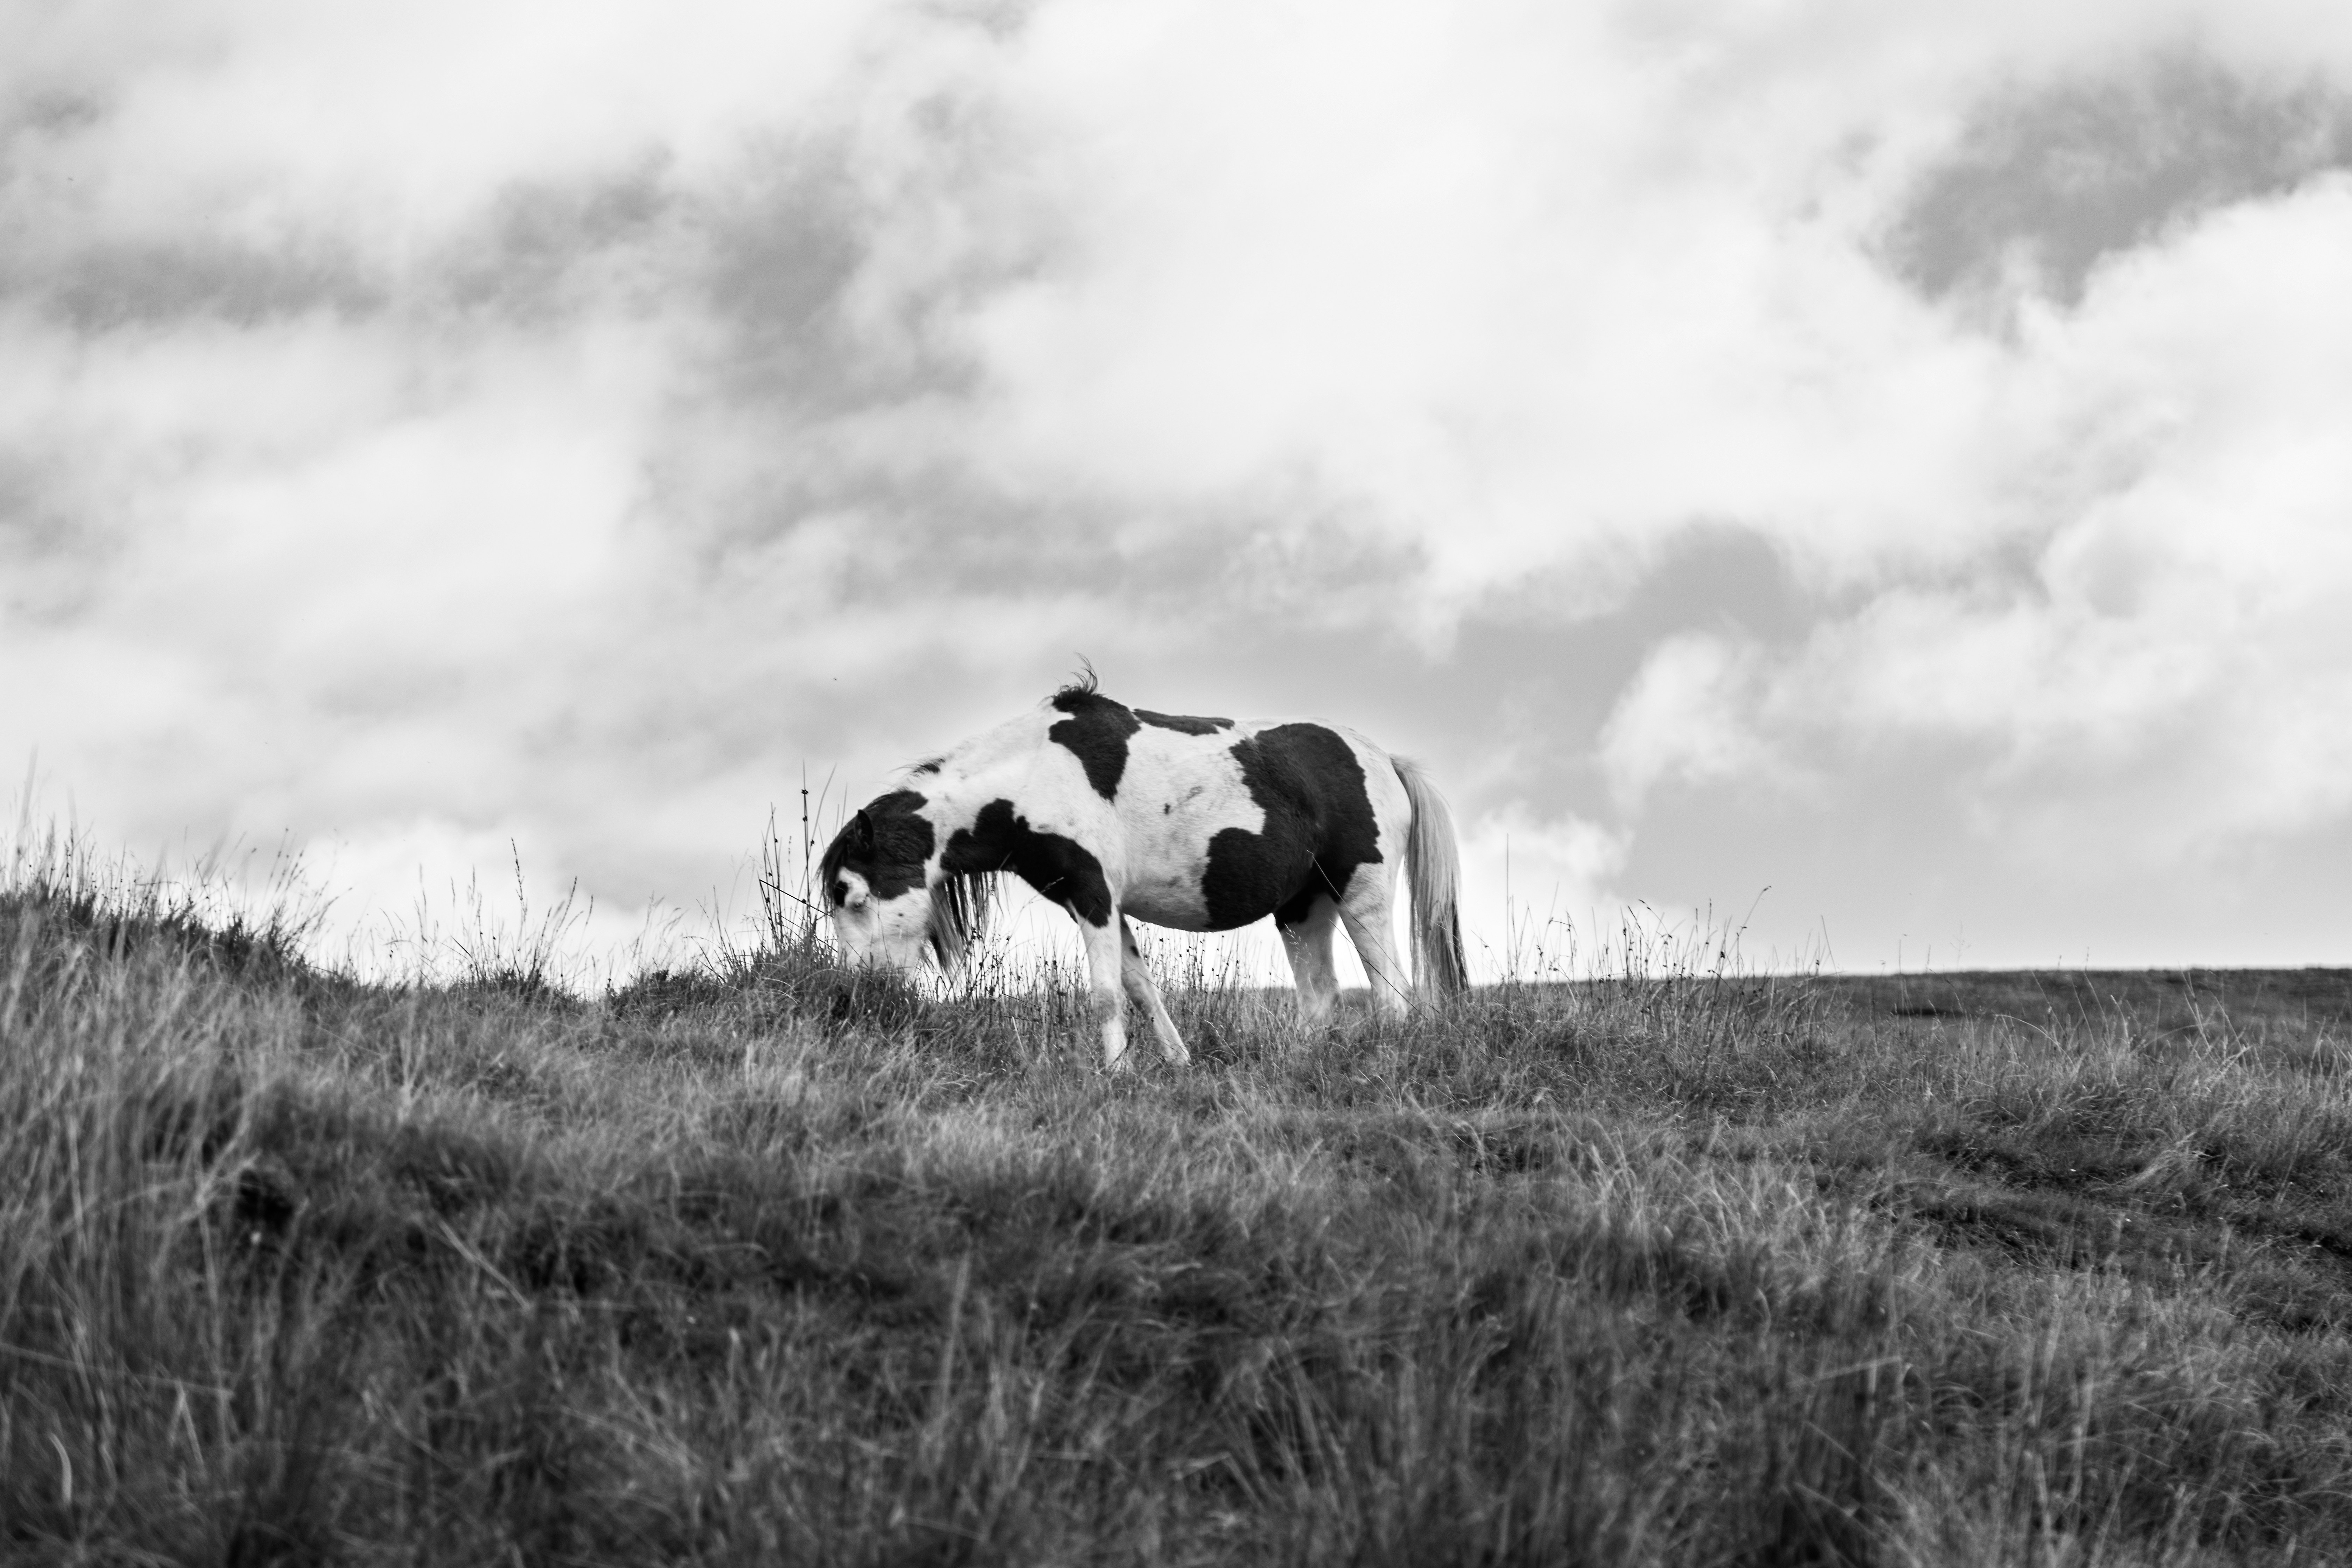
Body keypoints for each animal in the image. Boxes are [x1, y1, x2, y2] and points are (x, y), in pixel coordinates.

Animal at [817, 674, 1468, 1068]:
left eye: (852, 894)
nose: (859, 997)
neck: (1036, 775)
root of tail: (1385, 760)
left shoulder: (1093, 897)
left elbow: (1107, 994)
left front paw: (1113, 1073)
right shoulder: (1099, 905)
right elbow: (1141, 986)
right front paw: (1174, 1065)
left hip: (1361, 895)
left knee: (1392, 993)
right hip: (1302, 909)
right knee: (1320, 995)